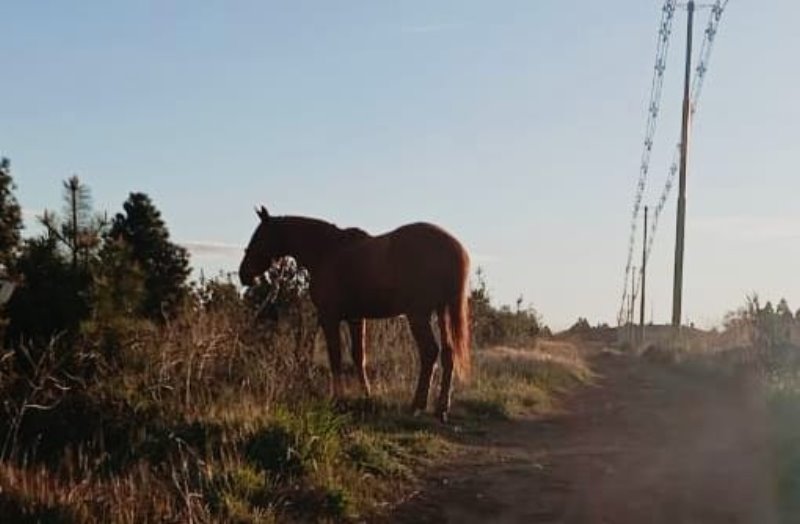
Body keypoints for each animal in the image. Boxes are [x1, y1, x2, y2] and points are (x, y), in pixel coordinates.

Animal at [239, 206, 471, 422]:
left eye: (258, 236)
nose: (243, 275)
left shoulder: (330, 318)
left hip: (419, 315)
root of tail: (453, 247)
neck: (326, 251)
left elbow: (336, 357)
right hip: (442, 312)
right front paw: (366, 395)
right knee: (448, 353)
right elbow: (359, 357)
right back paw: (441, 408)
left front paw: (338, 399)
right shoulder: (356, 319)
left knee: (430, 352)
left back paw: (417, 405)